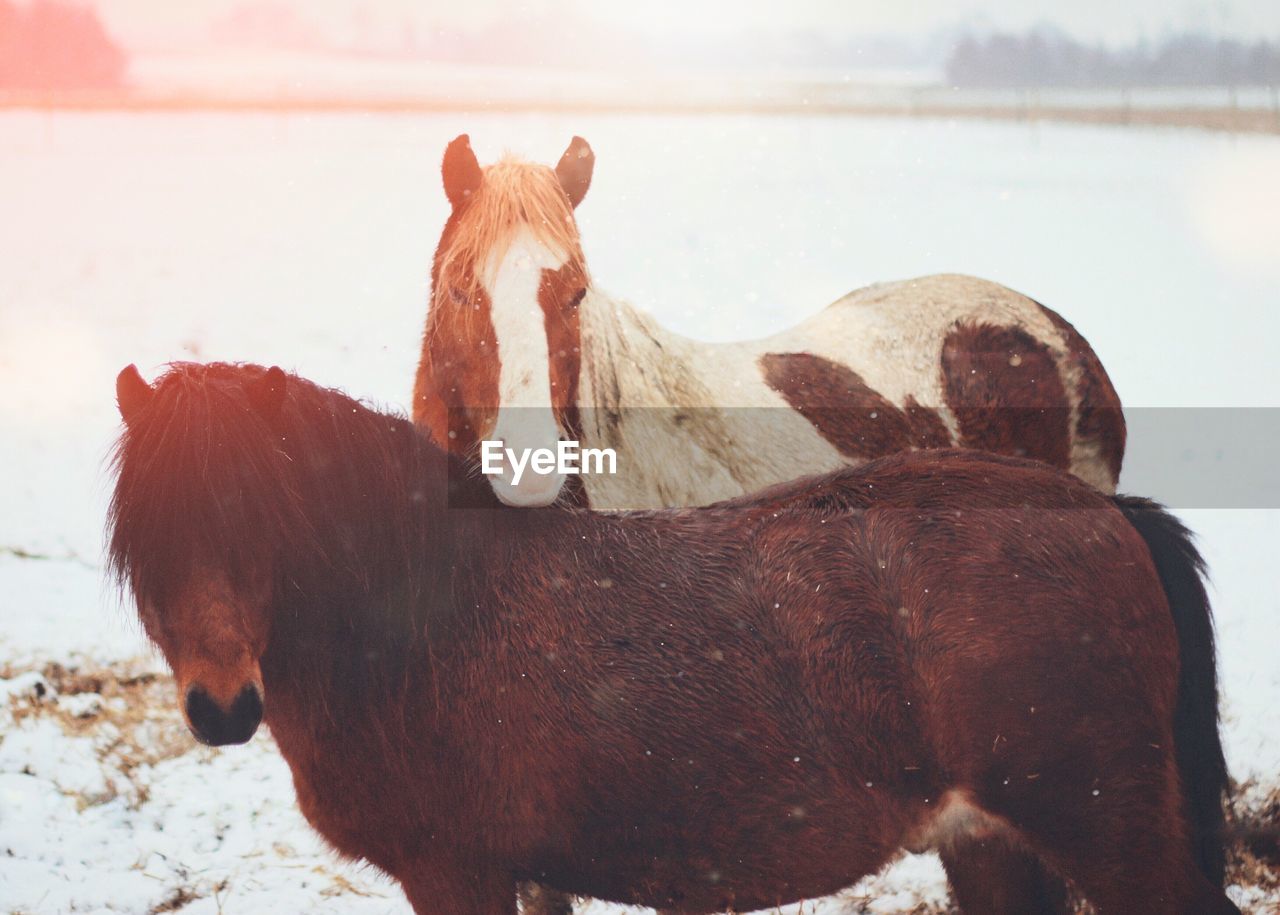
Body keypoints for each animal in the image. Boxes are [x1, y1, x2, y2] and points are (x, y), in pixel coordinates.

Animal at [115, 360, 1233, 915]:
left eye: (261, 512)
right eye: (150, 527)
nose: (222, 708)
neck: (425, 624)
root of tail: (1104, 510)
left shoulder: (456, 871)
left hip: (1108, 835)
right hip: (991, 842)